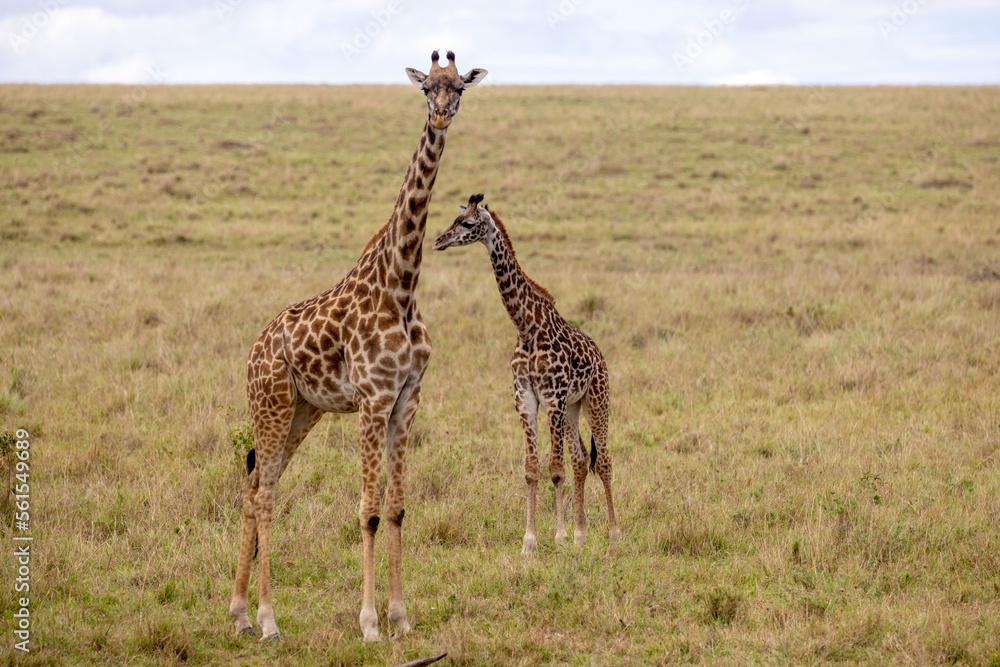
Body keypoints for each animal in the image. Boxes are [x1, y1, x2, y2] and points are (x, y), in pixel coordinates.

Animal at [228, 52, 487, 642]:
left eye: (460, 87)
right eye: (426, 89)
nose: (442, 116)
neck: (403, 285)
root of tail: (254, 349)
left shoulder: (407, 399)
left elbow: (395, 509)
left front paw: (401, 617)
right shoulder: (372, 399)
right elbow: (367, 510)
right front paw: (369, 624)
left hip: (304, 411)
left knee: (255, 484)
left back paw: (238, 612)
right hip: (271, 404)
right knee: (264, 492)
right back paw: (268, 620)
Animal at [432, 194, 620, 554]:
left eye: (466, 223)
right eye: (454, 219)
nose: (438, 241)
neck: (526, 327)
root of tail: (600, 354)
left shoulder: (553, 398)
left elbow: (556, 470)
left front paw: (558, 536)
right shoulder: (526, 399)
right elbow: (533, 470)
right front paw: (530, 541)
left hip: (596, 400)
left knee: (602, 460)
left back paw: (614, 533)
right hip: (573, 408)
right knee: (580, 460)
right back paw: (581, 535)